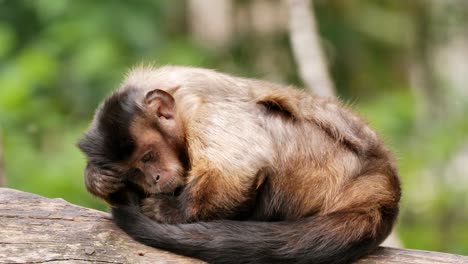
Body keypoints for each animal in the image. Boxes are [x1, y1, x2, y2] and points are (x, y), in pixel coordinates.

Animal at [77, 65, 402, 264]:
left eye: (147, 157)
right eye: (135, 171)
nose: (153, 178)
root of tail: (382, 179)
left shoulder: (204, 113)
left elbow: (236, 172)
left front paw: (169, 211)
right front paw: (97, 179)